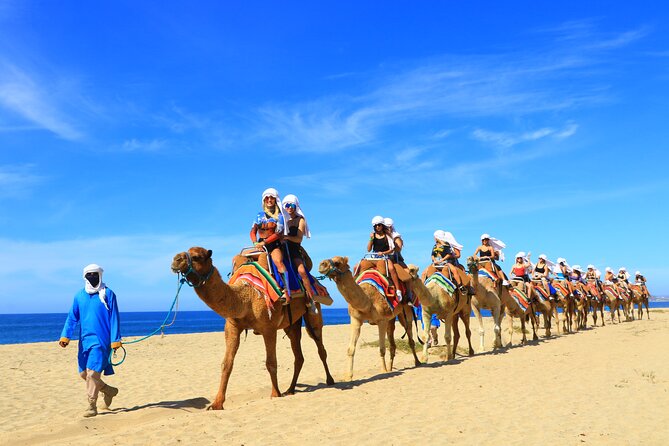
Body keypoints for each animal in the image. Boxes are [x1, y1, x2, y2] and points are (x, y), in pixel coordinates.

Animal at [171, 247, 334, 410]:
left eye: (196, 257)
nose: (175, 260)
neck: (246, 296)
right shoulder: (232, 326)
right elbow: (227, 364)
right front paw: (216, 404)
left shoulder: (269, 327)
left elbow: (271, 362)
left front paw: (275, 394)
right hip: (292, 324)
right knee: (298, 355)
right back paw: (290, 389)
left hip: (313, 313)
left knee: (320, 346)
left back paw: (330, 380)